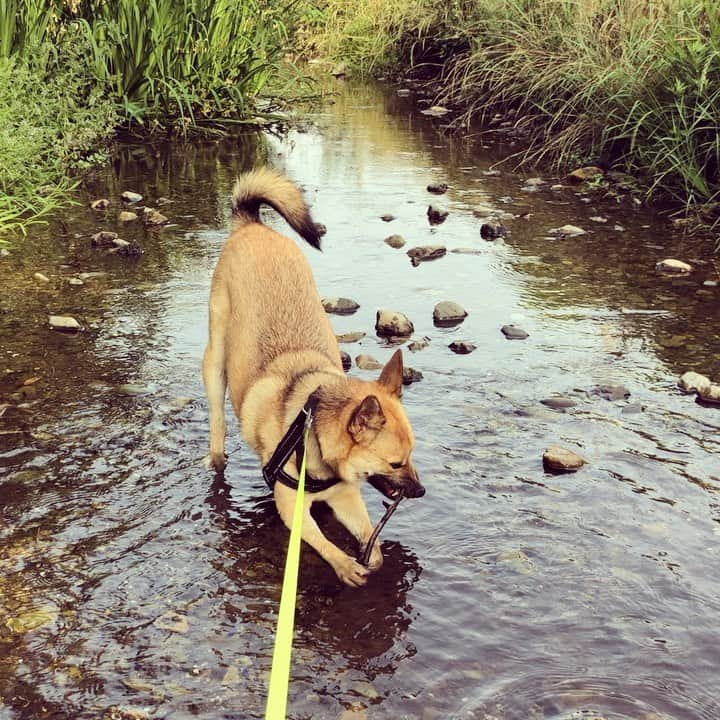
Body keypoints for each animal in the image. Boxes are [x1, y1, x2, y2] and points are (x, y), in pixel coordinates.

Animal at [202, 172, 424, 588]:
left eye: (412, 455)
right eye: (395, 463)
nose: (421, 491)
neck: (309, 432)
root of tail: (251, 225)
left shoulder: (345, 496)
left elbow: (368, 534)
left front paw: (373, 555)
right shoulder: (291, 507)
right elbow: (321, 542)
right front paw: (345, 565)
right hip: (215, 360)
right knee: (217, 420)